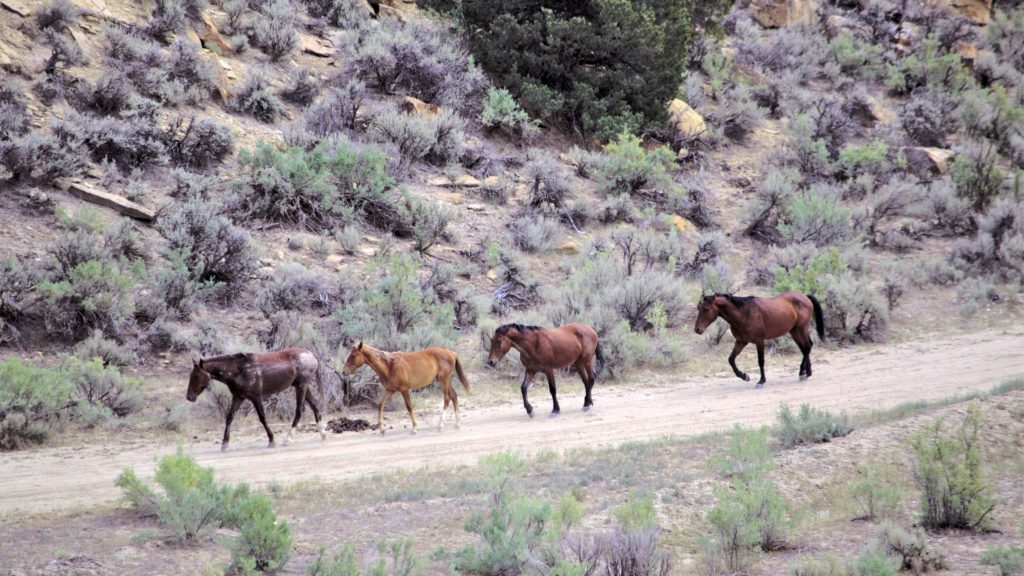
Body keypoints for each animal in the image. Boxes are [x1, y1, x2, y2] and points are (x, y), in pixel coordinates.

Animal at [186, 348, 327, 451]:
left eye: (196, 376)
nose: (189, 397)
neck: (238, 370)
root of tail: (311, 354)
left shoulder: (255, 397)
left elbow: (262, 418)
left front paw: (271, 441)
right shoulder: (238, 398)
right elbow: (229, 417)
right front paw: (224, 444)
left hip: (302, 387)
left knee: (299, 411)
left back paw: (287, 440)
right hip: (303, 387)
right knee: (315, 406)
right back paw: (323, 434)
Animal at [342, 342, 470, 434]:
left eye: (353, 356)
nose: (344, 371)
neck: (389, 366)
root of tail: (450, 352)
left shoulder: (404, 390)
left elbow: (409, 407)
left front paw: (414, 428)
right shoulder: (390, 390)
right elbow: (380, 405)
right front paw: (382, 429)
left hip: (444, 381)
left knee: (447, 399)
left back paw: (440, 425)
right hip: (445, 381)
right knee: (454, 396)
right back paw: (457, 424)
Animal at [693, 292, 825, 388]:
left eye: (706, 308)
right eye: (699, 308)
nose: (697, 329)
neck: (744, 314)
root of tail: (805, 297)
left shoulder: (759, 341)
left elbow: (760, 361)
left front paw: (761, 381)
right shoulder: (741, 341)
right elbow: (731, 359)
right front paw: (744, 376)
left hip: (800, 329)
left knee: (807, 347)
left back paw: (803, 373)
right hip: (794, 331)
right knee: (806, 348)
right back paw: (807, 372)